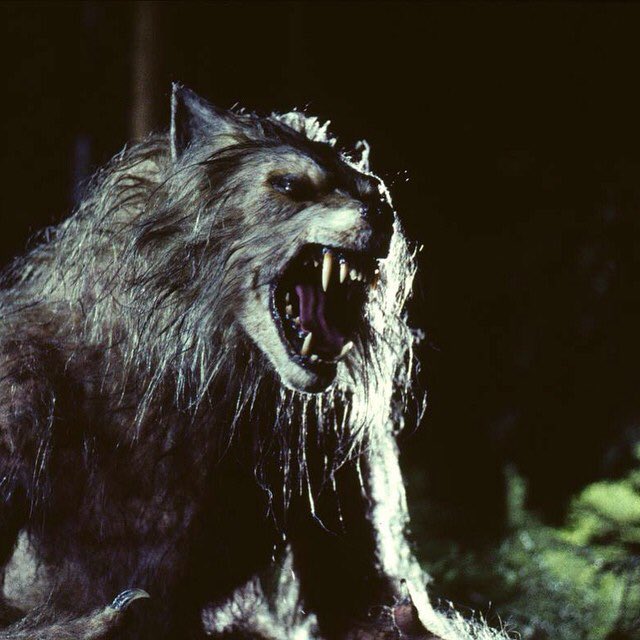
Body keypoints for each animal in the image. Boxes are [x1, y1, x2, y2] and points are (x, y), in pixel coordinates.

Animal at [0, 85, 509, 640]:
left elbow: (361, 599)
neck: (176, 376)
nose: (383, 210)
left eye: (372, 188)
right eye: (288, 184)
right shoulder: (15, 390)